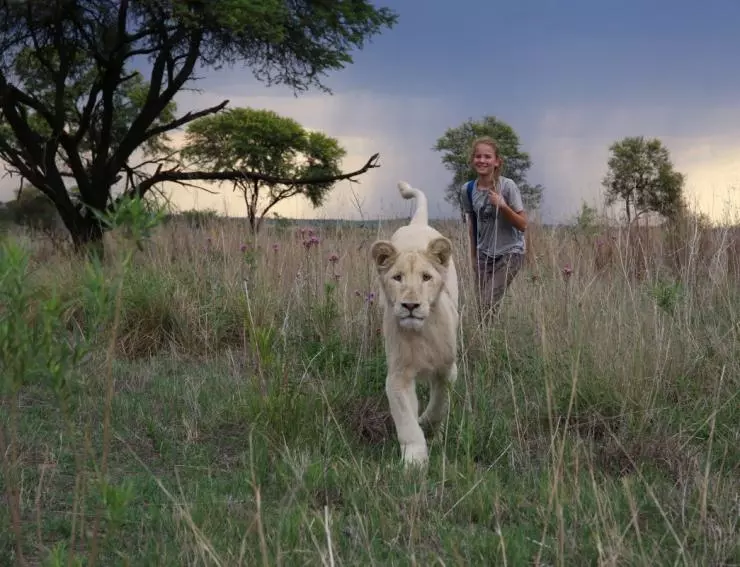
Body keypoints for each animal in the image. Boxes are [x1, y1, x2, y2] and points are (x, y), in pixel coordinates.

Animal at [370, 181, 459, 467]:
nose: (410, 305)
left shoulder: (447, 369)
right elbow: (406, 421)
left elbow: (439, 404)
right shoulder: (398, 377)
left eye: (426, 277)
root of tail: (417, 224)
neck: (420, 334)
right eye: (397, 277)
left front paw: (428, 425)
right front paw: (414, 461)